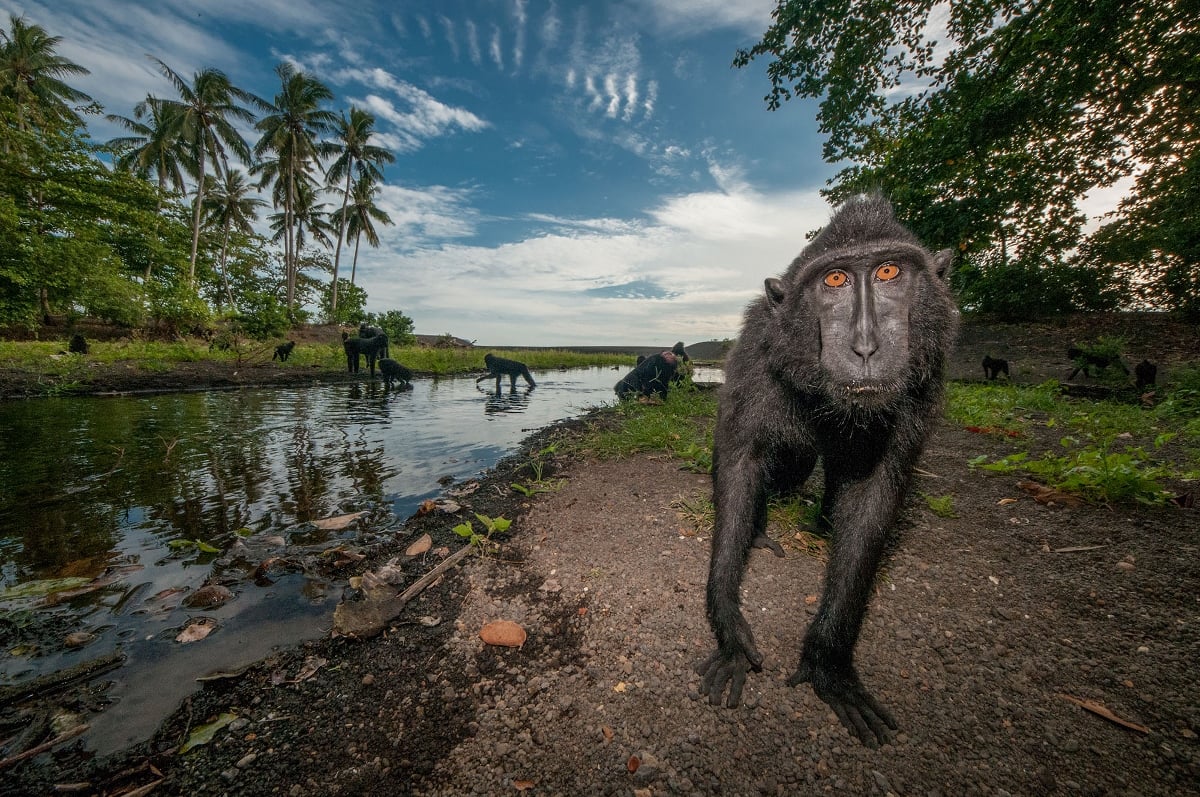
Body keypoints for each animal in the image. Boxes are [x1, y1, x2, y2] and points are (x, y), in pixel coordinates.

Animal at [696, 194, 955, 748]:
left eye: (888, 271)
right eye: (834, 280)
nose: (866, 346)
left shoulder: (923, 381)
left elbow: (873, 494)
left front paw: (829, 663)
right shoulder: (757, 353)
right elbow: (740, 462)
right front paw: (729, 628)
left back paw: (821, 523)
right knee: (785, 464)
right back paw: (760, 532)